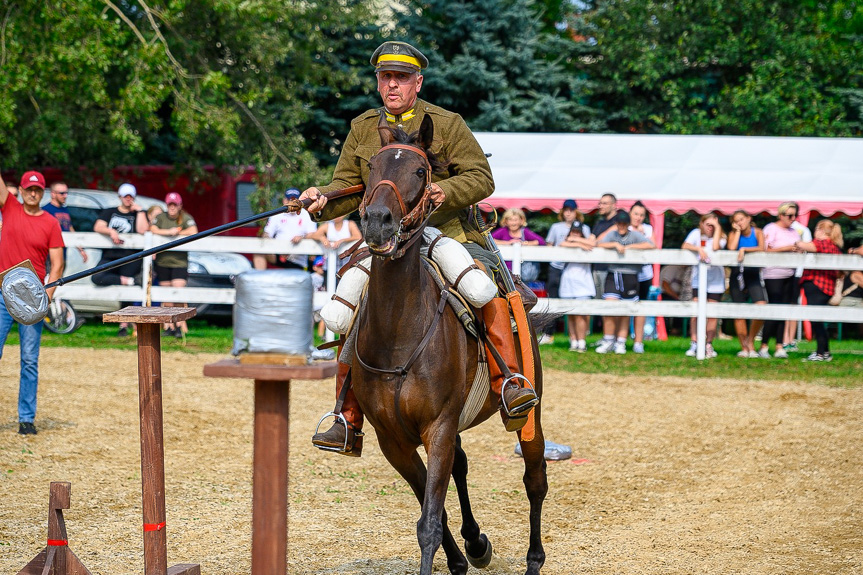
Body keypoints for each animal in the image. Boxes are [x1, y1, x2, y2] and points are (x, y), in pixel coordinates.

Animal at [350, 113, 548, 575]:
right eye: (373, 167)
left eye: (421, 172)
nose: (378, 221)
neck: (399, 333)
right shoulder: (394, 440)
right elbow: (432, 509)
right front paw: (462, 555)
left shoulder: (437, 427)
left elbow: (429, 523)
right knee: (461, 465)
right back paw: (475, 543)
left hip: (529, 413)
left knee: (535, 479)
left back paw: (533, 559)